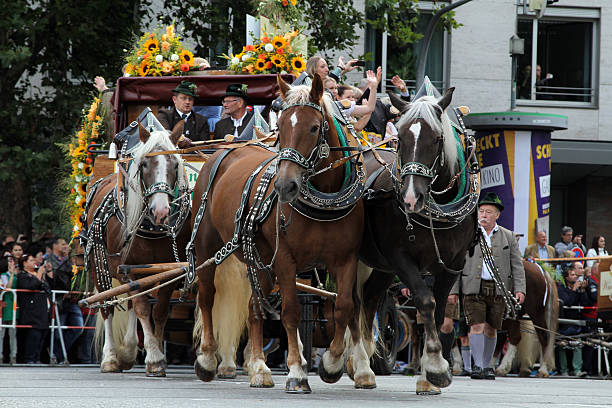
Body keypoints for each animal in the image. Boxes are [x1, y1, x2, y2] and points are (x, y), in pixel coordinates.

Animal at [82, 123, 190, 376]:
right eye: (144, 165)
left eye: (175, 164)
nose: (160, 211)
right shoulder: (130, 267)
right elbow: (141, 308)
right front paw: (154, 358)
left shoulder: (168, 271)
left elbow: (157, 311)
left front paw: (155, 353)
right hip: (99, 266)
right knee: (107, 307)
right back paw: (111, 358)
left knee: (131, 302)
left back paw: (129, 351)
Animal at [190, 75, 372, 394]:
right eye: (283, 126)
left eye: (314, 127)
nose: (285, 186)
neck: (323, 201)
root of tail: (228, 148)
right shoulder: (286, 260)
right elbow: (291, 312)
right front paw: (297, 372)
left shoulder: (345, 259)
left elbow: (344, 306)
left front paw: (332, 363)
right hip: (206, 247)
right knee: (207, 296)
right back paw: (209, 358)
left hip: (258, 259)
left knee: (254, 307)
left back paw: (259, 368)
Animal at [356, 88, 480, 392]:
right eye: (400, 138)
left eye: (436, 139)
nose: (412, 198)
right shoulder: (400, 257)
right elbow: (425, 301)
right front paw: (436, 365)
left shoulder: (453, 265)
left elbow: (437, 313)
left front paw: (429, 377)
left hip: (379, 266)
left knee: (368, 300)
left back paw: (362, 368)